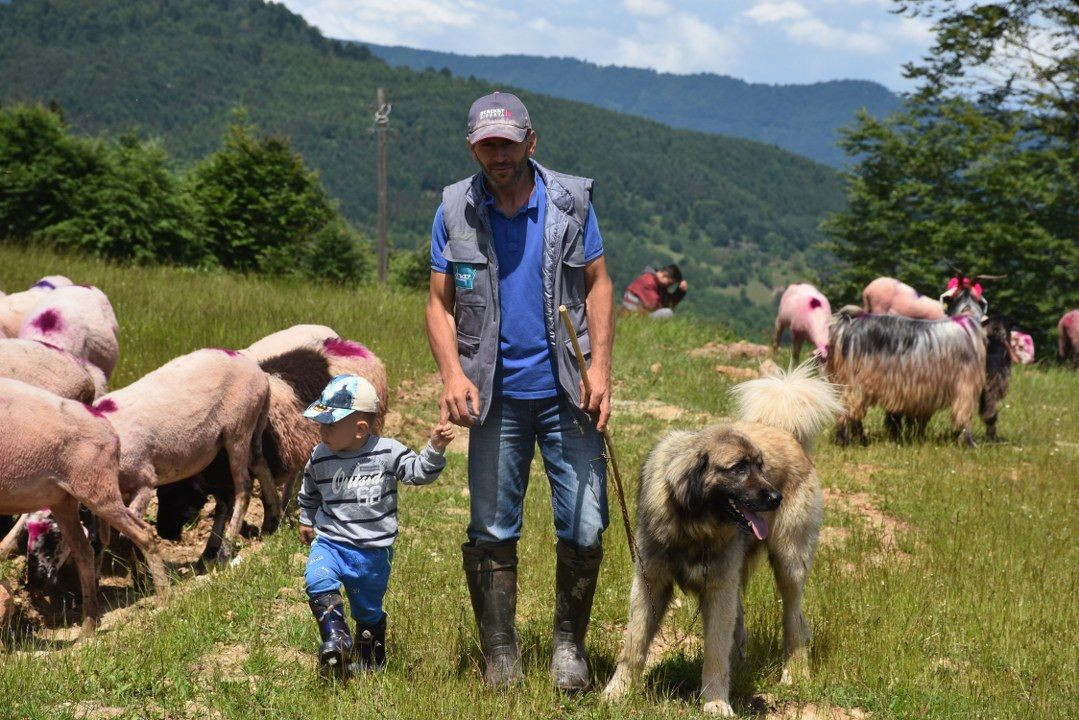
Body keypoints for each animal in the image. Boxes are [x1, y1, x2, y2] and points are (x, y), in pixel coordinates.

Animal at [0, 377, 167, 634]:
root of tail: (108, 427)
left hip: (96, 490)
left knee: (144, 534)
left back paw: (165, 599)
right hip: (63, 500)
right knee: (85, 552)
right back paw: (88, 626)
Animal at [604, 362, 837, 716]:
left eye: (761, 466)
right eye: (739, 468)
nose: (776, 498)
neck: (694, 526)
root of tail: (784, 432)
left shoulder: (717, 587)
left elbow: (714, 651)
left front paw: (715, 701)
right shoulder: (651, 582)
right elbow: (634, 642)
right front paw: (617, 691)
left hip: (788, 562)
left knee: (794, 618)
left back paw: (794, 672)